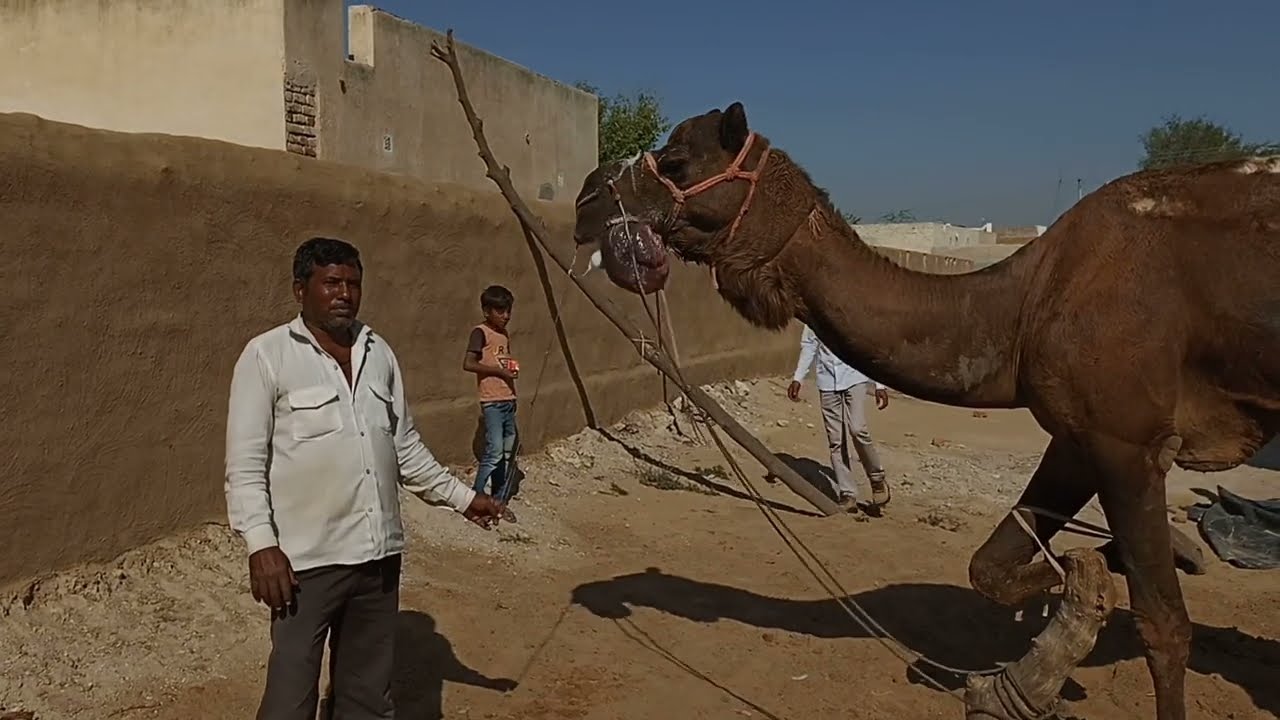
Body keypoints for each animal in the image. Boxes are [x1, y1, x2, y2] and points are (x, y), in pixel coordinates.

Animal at [570, 101, 1280, 720]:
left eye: (677, 158)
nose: (588, 197)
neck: (1022, 303)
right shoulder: (1080, 435)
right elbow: (989, 566)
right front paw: (1092, 585)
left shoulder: (1128, 439)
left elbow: (1165, 627)